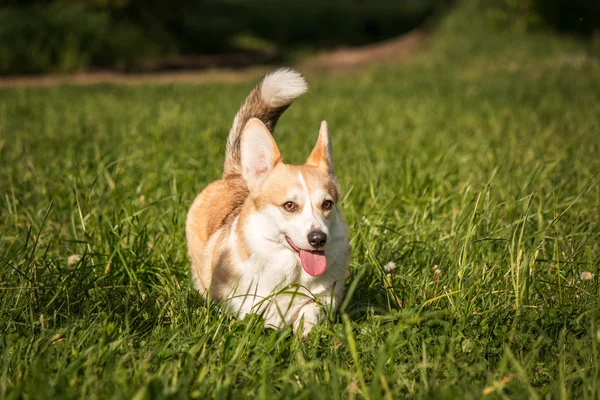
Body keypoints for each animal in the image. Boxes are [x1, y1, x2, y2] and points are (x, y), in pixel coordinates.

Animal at [185, 68, 350, 334]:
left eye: (326, 204)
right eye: (289, 205)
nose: (318, 239)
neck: (292, 271)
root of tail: (234, 174)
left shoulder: (326, 298)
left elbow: (311, 310)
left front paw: (304, 330)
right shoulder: (242, 304)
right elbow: (261, 315)